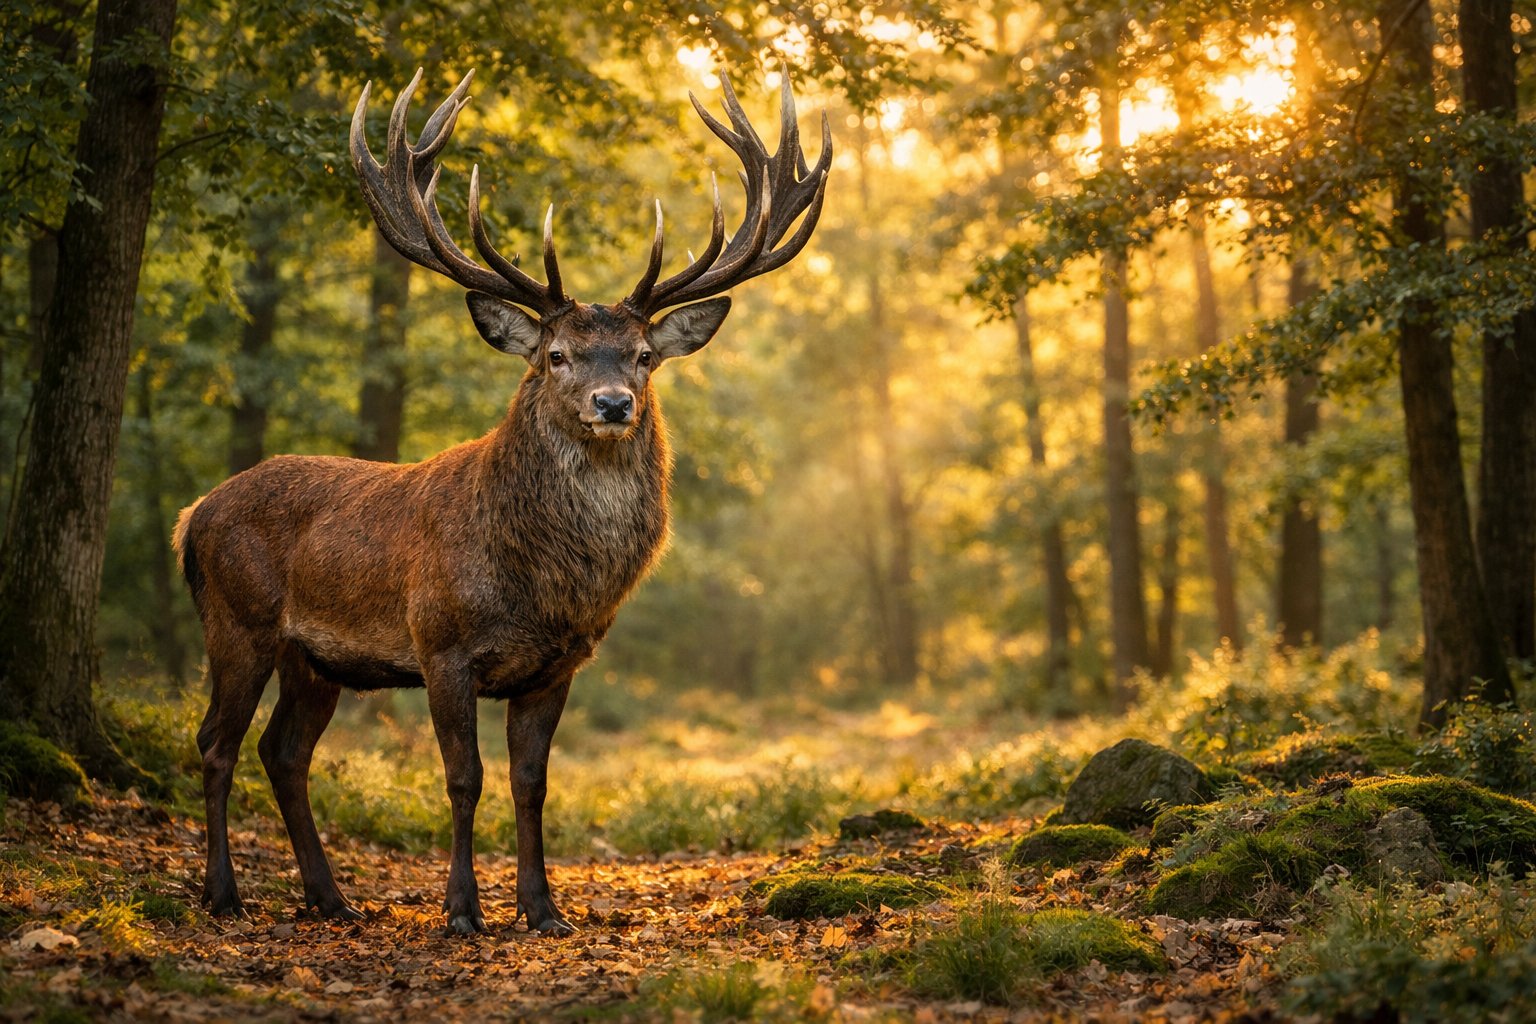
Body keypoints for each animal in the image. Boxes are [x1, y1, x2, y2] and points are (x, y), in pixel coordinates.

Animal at [173, 67, 829, 936]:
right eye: (556, 355)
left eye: (644, 355)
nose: (613, 403)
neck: (542, 585)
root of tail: (191, 517)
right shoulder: (441, 644)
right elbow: (465, 779)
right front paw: (461, 910)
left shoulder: (558, 665)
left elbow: (531, 784)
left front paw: (543, 908)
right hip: (237, 619)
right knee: (215, 741)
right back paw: (223, 894)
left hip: (313, 658)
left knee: (282, 752)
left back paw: (331, 899)